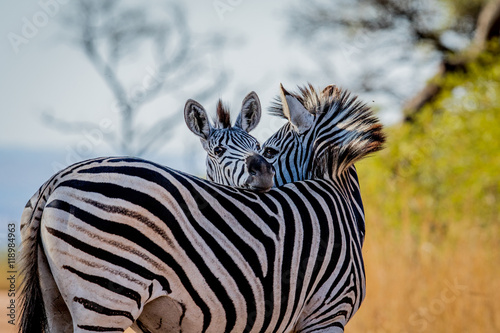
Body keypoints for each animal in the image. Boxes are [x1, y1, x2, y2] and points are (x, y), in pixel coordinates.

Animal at [15, 84, 382, 330]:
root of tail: (58, 177)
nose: (263, 170)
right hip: (107, 297)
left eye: (265, 149)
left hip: (60, 302)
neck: (338, 198)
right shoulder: (327, 311)